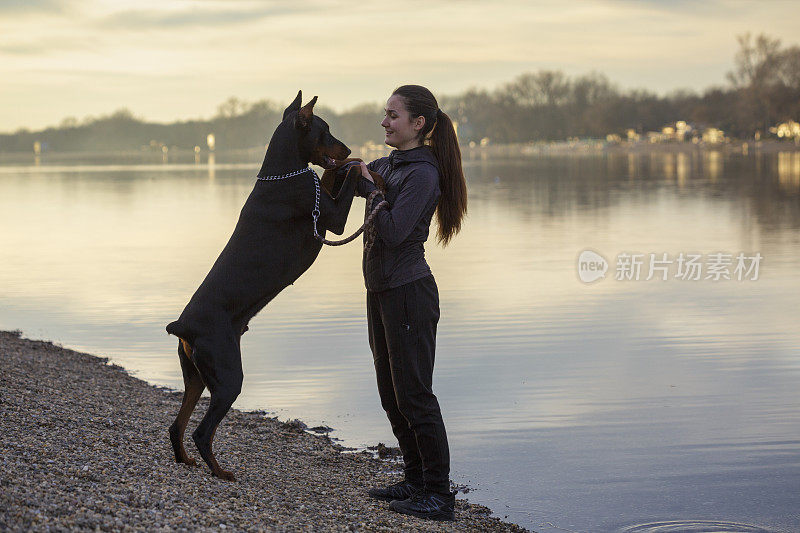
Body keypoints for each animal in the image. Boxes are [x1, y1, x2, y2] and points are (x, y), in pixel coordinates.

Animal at [166, 89, 360, 480]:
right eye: (325, 130)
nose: (347, 148)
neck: (282, 173)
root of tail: (183, 326)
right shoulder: (331, 218)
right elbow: (339, 184)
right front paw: (360, 166)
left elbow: (329, 176)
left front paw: (347, 165)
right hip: (228, 375)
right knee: (200, 431)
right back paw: (221, 472)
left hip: (195, 374)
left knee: (176, 425)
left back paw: (187, 461)